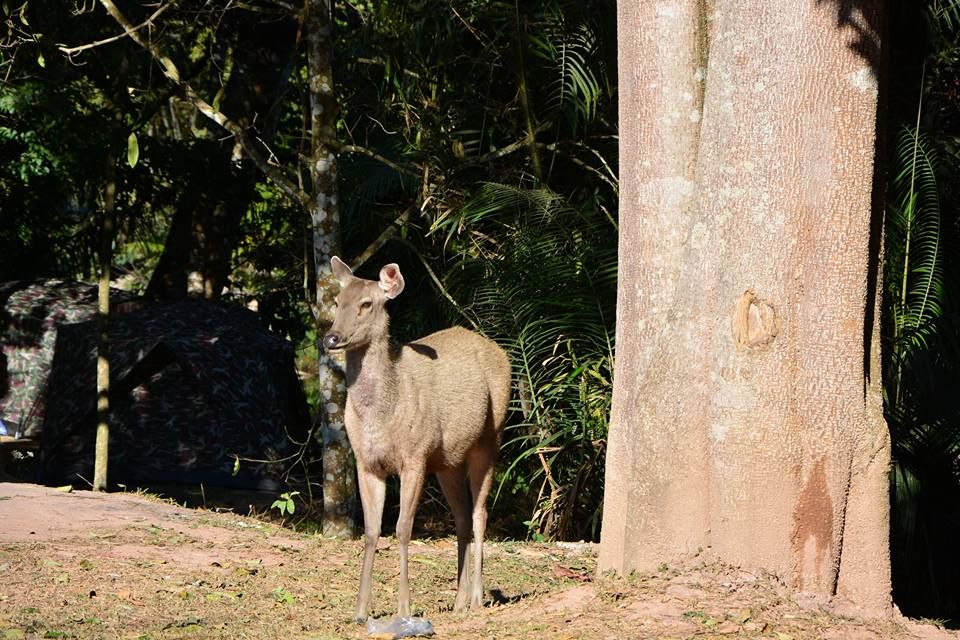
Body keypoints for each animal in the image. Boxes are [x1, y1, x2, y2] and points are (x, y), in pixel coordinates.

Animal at [322, 258, 512, 624]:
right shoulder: (366, 462)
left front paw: (404, 609)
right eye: (337, 302)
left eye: (366, 304)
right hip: (448, 461)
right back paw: (458, 601)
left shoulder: (415, 456)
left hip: (490, 437)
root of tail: (500, 351)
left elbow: (403, 528)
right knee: (461, 518)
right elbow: (371, 530)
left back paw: (478, 598)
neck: (380, 416)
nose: (331, 337)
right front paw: (360, 611)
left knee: (480, 513)